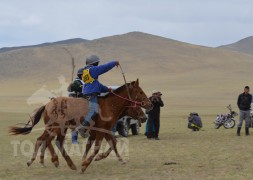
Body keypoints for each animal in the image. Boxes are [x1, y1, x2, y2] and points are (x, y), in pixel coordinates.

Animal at [9, 79, 152, 173]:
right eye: (140, 92)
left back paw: (51, 162)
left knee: (48, 141)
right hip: (58, 128)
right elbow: (97, 148)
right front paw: (85, 164)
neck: (109, 106)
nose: (149, 107)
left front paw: (117, 159)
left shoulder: (104, 130)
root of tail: (48, 104)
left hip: (57, 128)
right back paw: (49, 161)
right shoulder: (100, 131)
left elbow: (112, 144)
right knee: (47, 140)